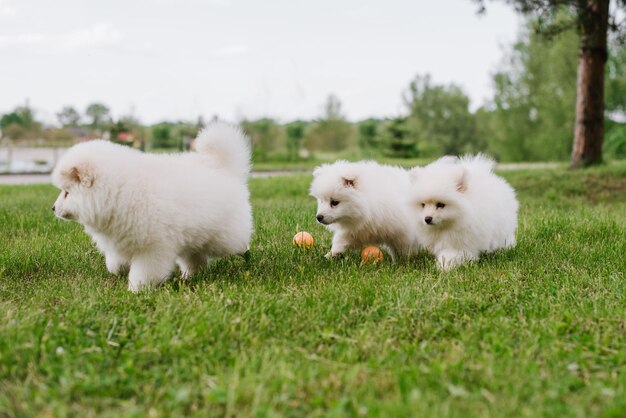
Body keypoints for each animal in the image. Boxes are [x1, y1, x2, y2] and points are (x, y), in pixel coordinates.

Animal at [51, 121, 251, 290]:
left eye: (66, 193)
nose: (53, 208)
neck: (118, 192)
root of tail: (222, 167)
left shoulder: (153, 248)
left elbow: (144, 272)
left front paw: (136, 290)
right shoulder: (120, 240)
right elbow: (115, 261)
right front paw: (117, 269)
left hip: (224, 237)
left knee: (237, 243)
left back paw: (246, 256)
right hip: (193, 237)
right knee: (195, 259)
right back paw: (190, 276)